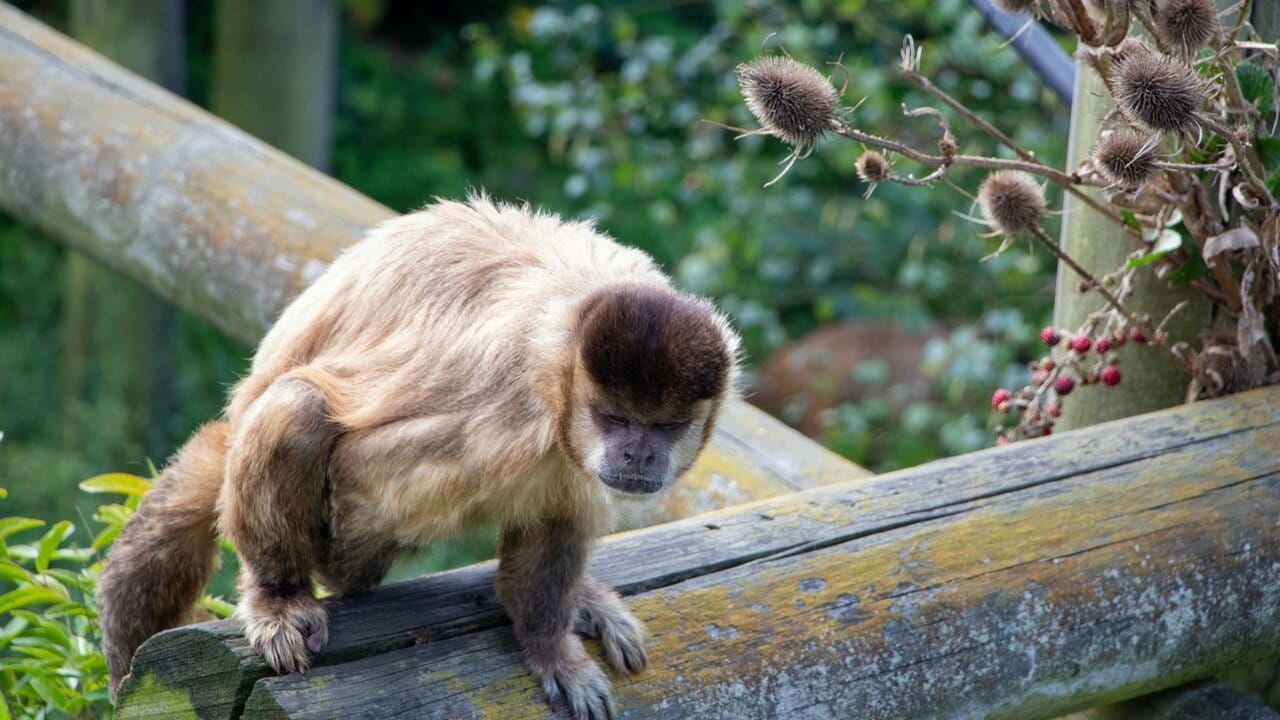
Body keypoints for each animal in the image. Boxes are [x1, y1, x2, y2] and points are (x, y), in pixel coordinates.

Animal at [96, 194, 740, 719]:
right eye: (616, 419)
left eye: (665, 427)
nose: (637, 452)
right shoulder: (512, 408)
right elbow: (372, 466)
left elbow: (559, 510)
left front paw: (548, 642)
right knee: (296, 407)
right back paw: (276, 592)